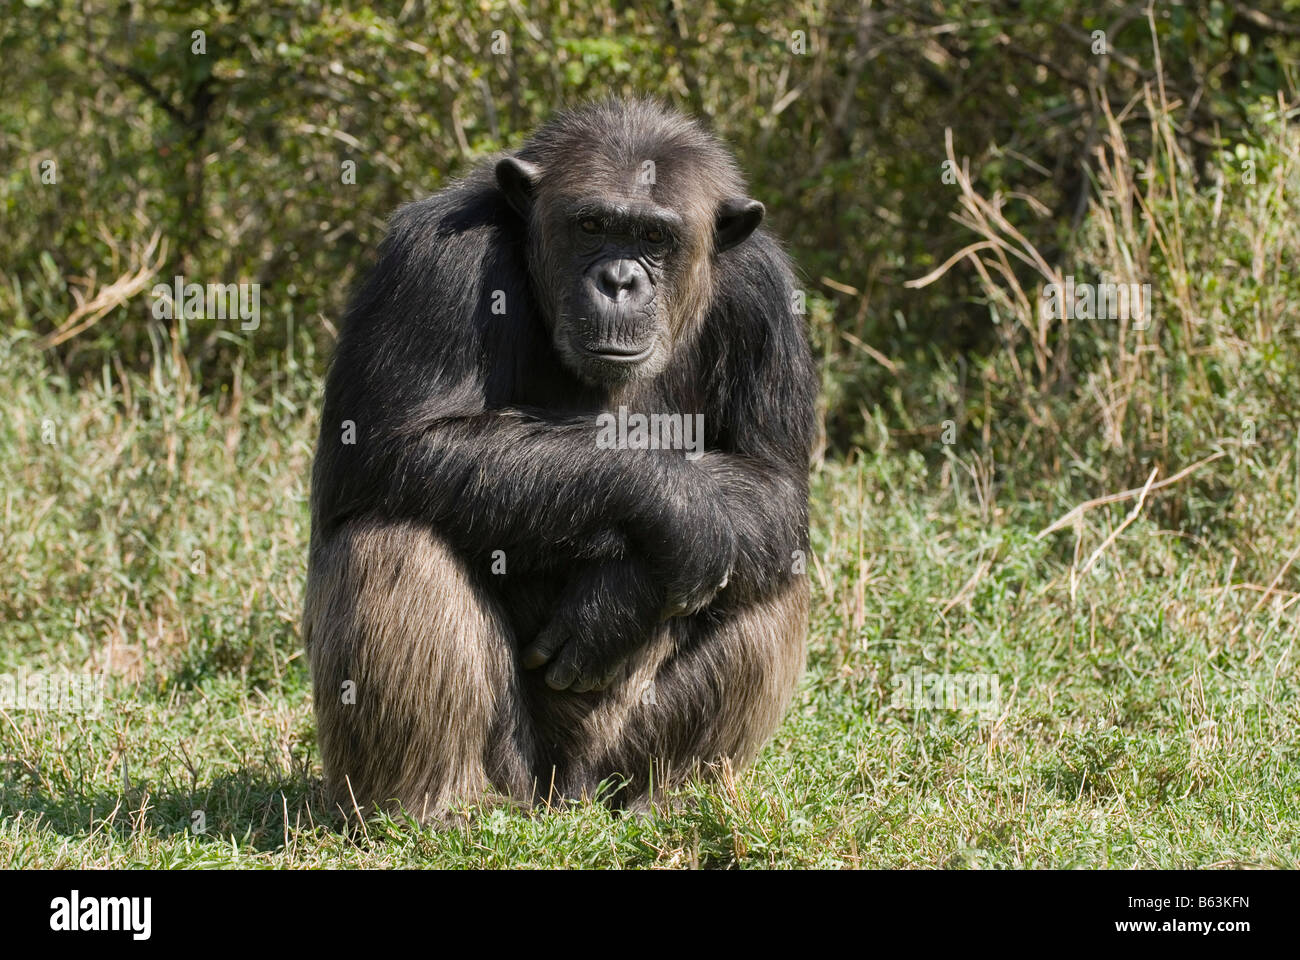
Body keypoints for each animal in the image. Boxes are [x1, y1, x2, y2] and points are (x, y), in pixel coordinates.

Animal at [303, 98, 817, 823]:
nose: (620, 280)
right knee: (392, 537)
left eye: (655, 237)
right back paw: (435, 809)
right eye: (592, 225)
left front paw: (619, 602)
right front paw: (676, 506)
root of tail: (564, 796)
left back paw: (668, 801)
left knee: (772, 562)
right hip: (515, 771)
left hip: (612, 761)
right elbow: (389, 443)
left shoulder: (767, 297)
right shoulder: (434, 261)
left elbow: (772, 481)